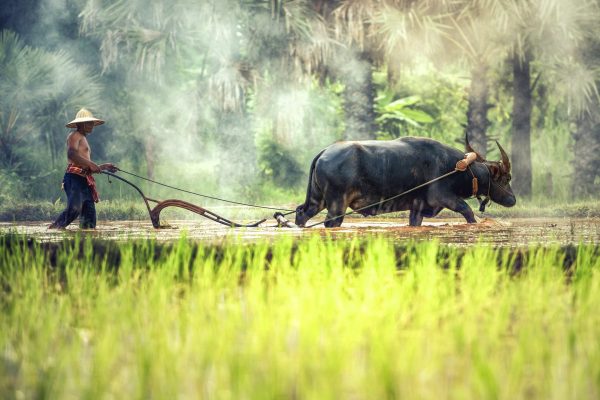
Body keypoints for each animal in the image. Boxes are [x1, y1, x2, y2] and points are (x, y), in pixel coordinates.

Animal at [294, 135, 516, 227]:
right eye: (507, 178)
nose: (513, 200)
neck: (458, 168)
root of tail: (324, 152)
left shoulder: (417, 208)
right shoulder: (445, 197)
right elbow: (468, 212)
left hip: (317, 199)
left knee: (302, 213)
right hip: (337, 204)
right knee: (331, 222)